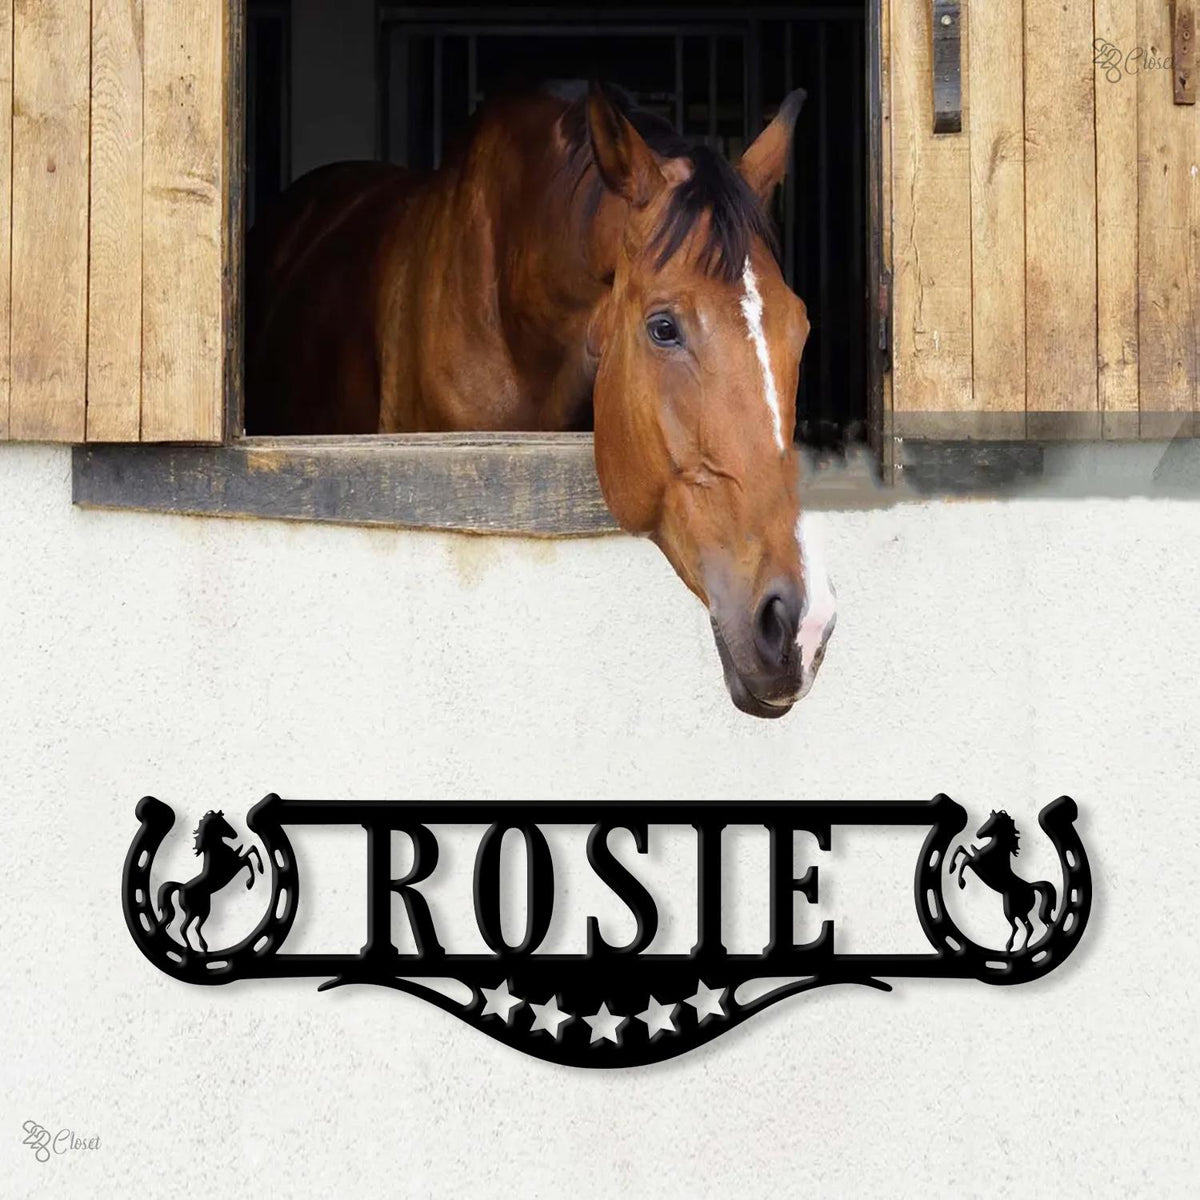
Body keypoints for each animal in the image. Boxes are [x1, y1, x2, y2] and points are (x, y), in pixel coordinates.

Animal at [157, 811, 264, 953]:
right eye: (222, 823)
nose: (235, 835)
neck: (217, 851)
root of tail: (182, 887)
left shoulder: (236, 863)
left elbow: (251, 850)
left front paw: (257, 873)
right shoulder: (235, 866)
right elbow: (249, 857)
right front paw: (251, 881)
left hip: (202, 910)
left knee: (196, 927)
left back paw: (204, 947)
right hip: (195, 911)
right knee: (184, 928)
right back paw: (191, 949)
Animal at [949, 811, 1058, 953]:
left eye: (991, 822)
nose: (978, 834)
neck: (996, 853)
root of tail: (1030, 887)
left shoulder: (977, 863)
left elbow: (965, 858)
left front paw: (960, 881)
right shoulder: (976, 861)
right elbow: (961, 848)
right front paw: (952, 869)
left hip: (1010, 910)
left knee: (1017, 927)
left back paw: (1009, 947)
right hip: (1021, 912)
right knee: (1029, 927)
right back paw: (1022, 948)